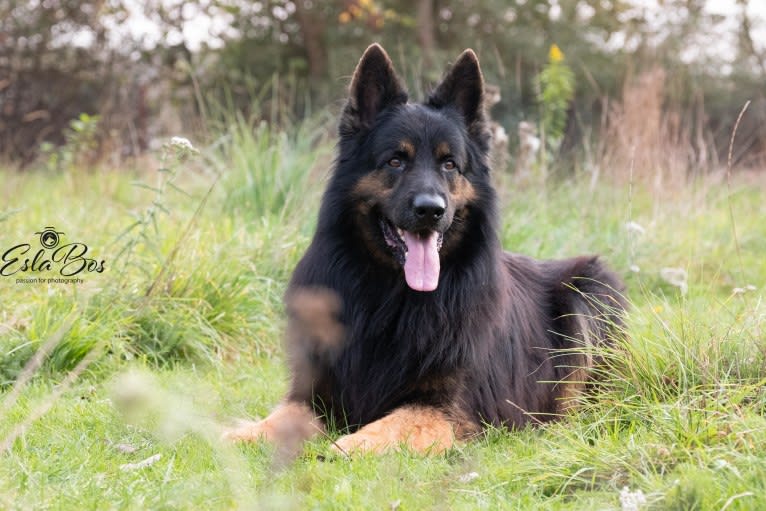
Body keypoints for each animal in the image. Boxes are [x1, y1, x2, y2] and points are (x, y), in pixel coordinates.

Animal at [224, 42, 632, 454]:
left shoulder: (445, 410)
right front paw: (231, 435)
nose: (431, 210)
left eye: (449, 164)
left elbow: (386, 427)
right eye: (395, 160)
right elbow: (272, 421)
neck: (392, 297)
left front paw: (346, 446)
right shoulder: (314, 395)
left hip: (590, 288)